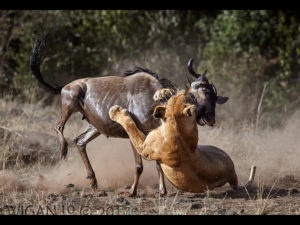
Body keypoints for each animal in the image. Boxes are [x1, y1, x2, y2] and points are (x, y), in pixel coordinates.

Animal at [109, 89, 255, 193]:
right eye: (183, 95)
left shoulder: (145, 148)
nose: (187, 91)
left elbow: (131, 126)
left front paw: (115, 111)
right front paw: (163, 93)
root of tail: (232, 175)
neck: (175, 124)